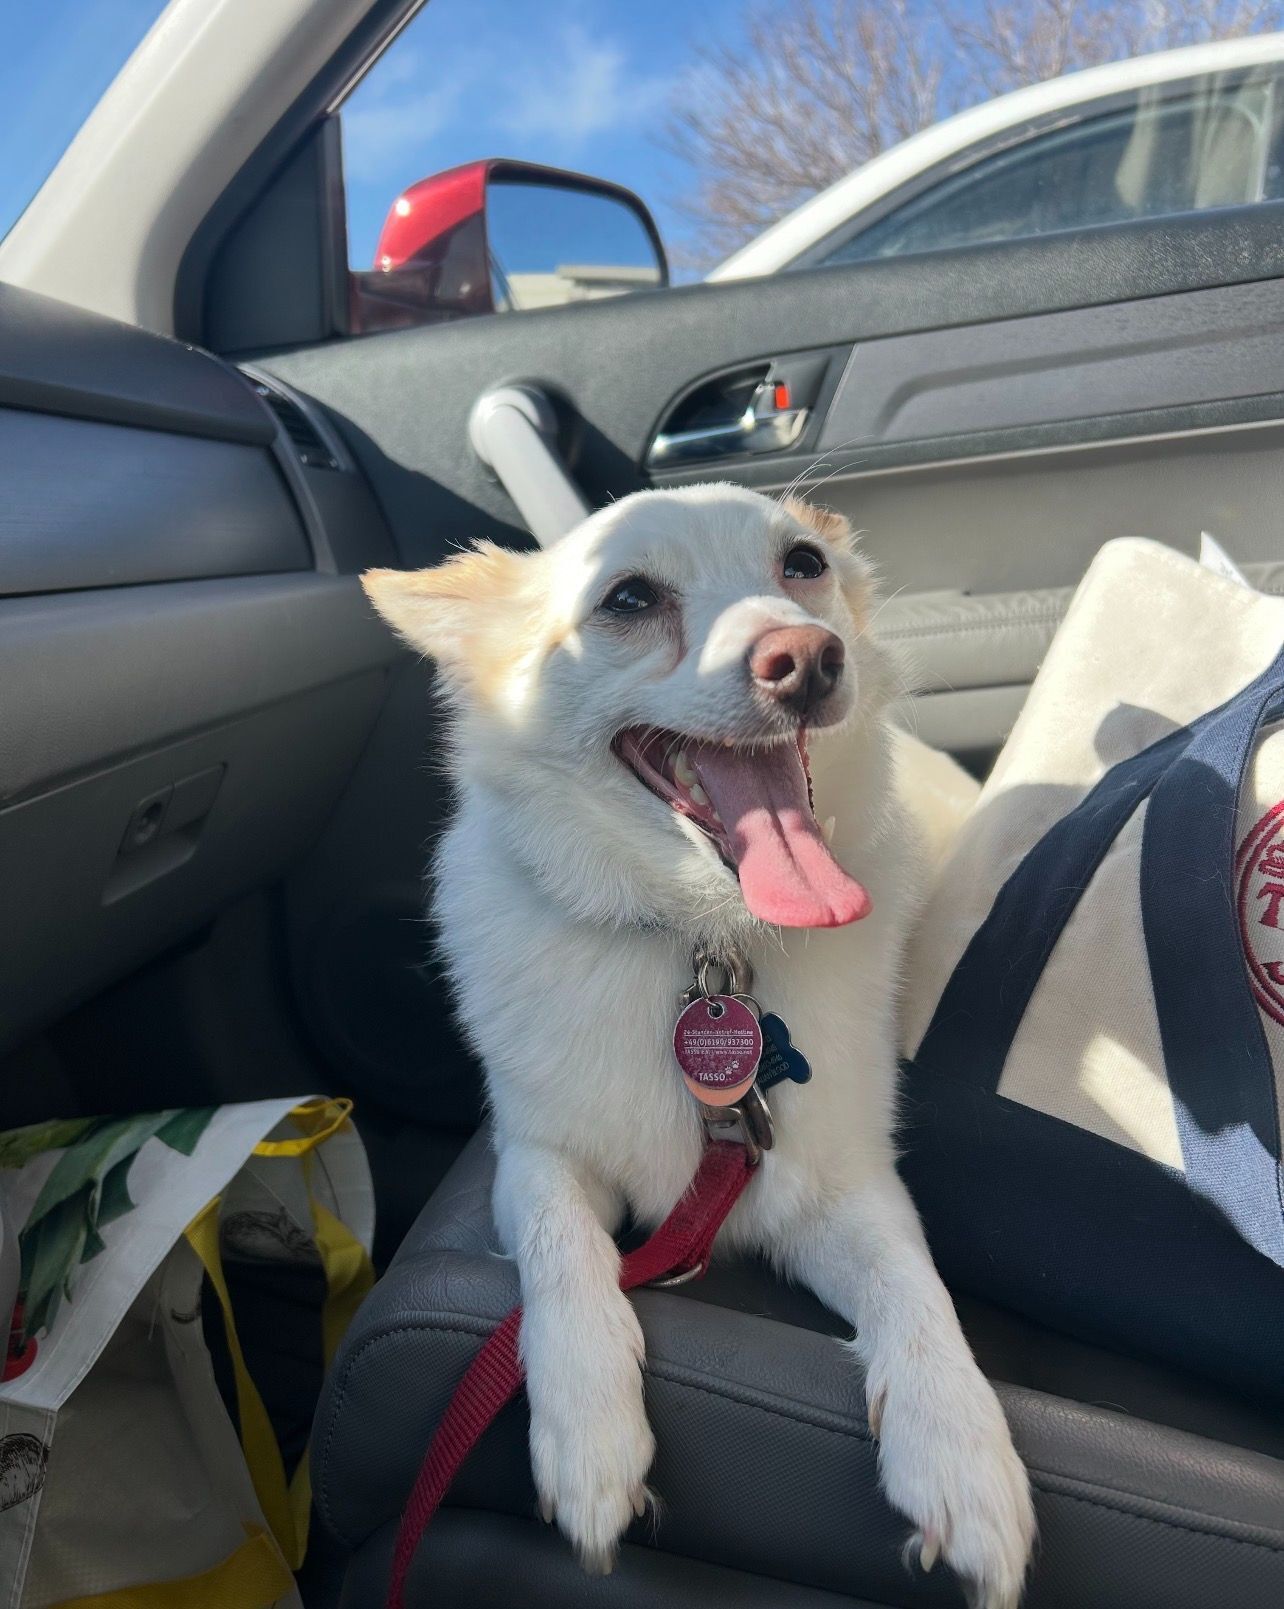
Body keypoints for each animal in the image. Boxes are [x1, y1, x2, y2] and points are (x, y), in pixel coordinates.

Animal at [363, 483, 1035, 1608]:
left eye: (803, 564)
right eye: (629, 599)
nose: (806, 657)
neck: (708, 942)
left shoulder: (843, 1190)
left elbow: (917, 1290)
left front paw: (960, 1447)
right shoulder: (534, 1154)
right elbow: (563, 1245)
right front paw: (589, 1424)